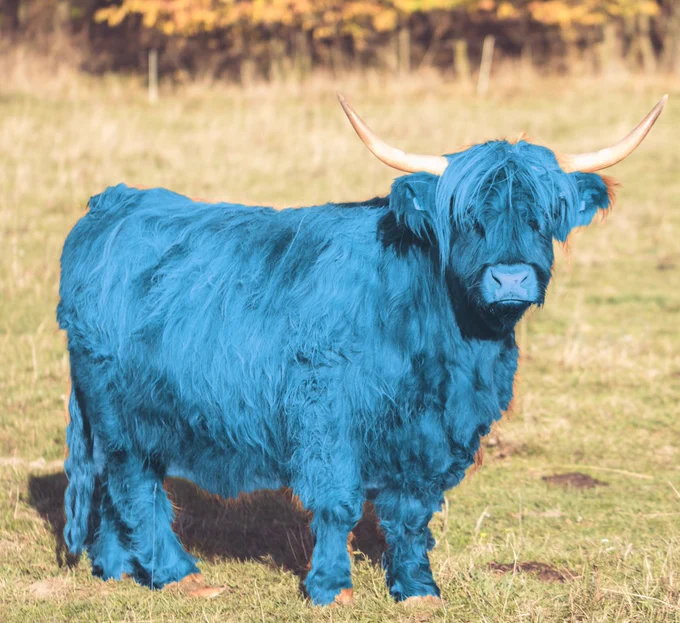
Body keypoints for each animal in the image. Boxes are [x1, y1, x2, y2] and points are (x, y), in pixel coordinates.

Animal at [57, 94, 666, 606]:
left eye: (544, 217)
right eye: (468, 219)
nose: (511, 279)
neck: (452, 344)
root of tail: (114, 202)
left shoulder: (434, 432)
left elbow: (412, 514)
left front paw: (418, 588)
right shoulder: (326, 412)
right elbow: (339, 503)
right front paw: (332, 587)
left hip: (139, 412)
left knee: (116, 488)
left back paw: (116, 569)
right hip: (117, 407)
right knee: (134, 485)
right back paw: (180, 575)